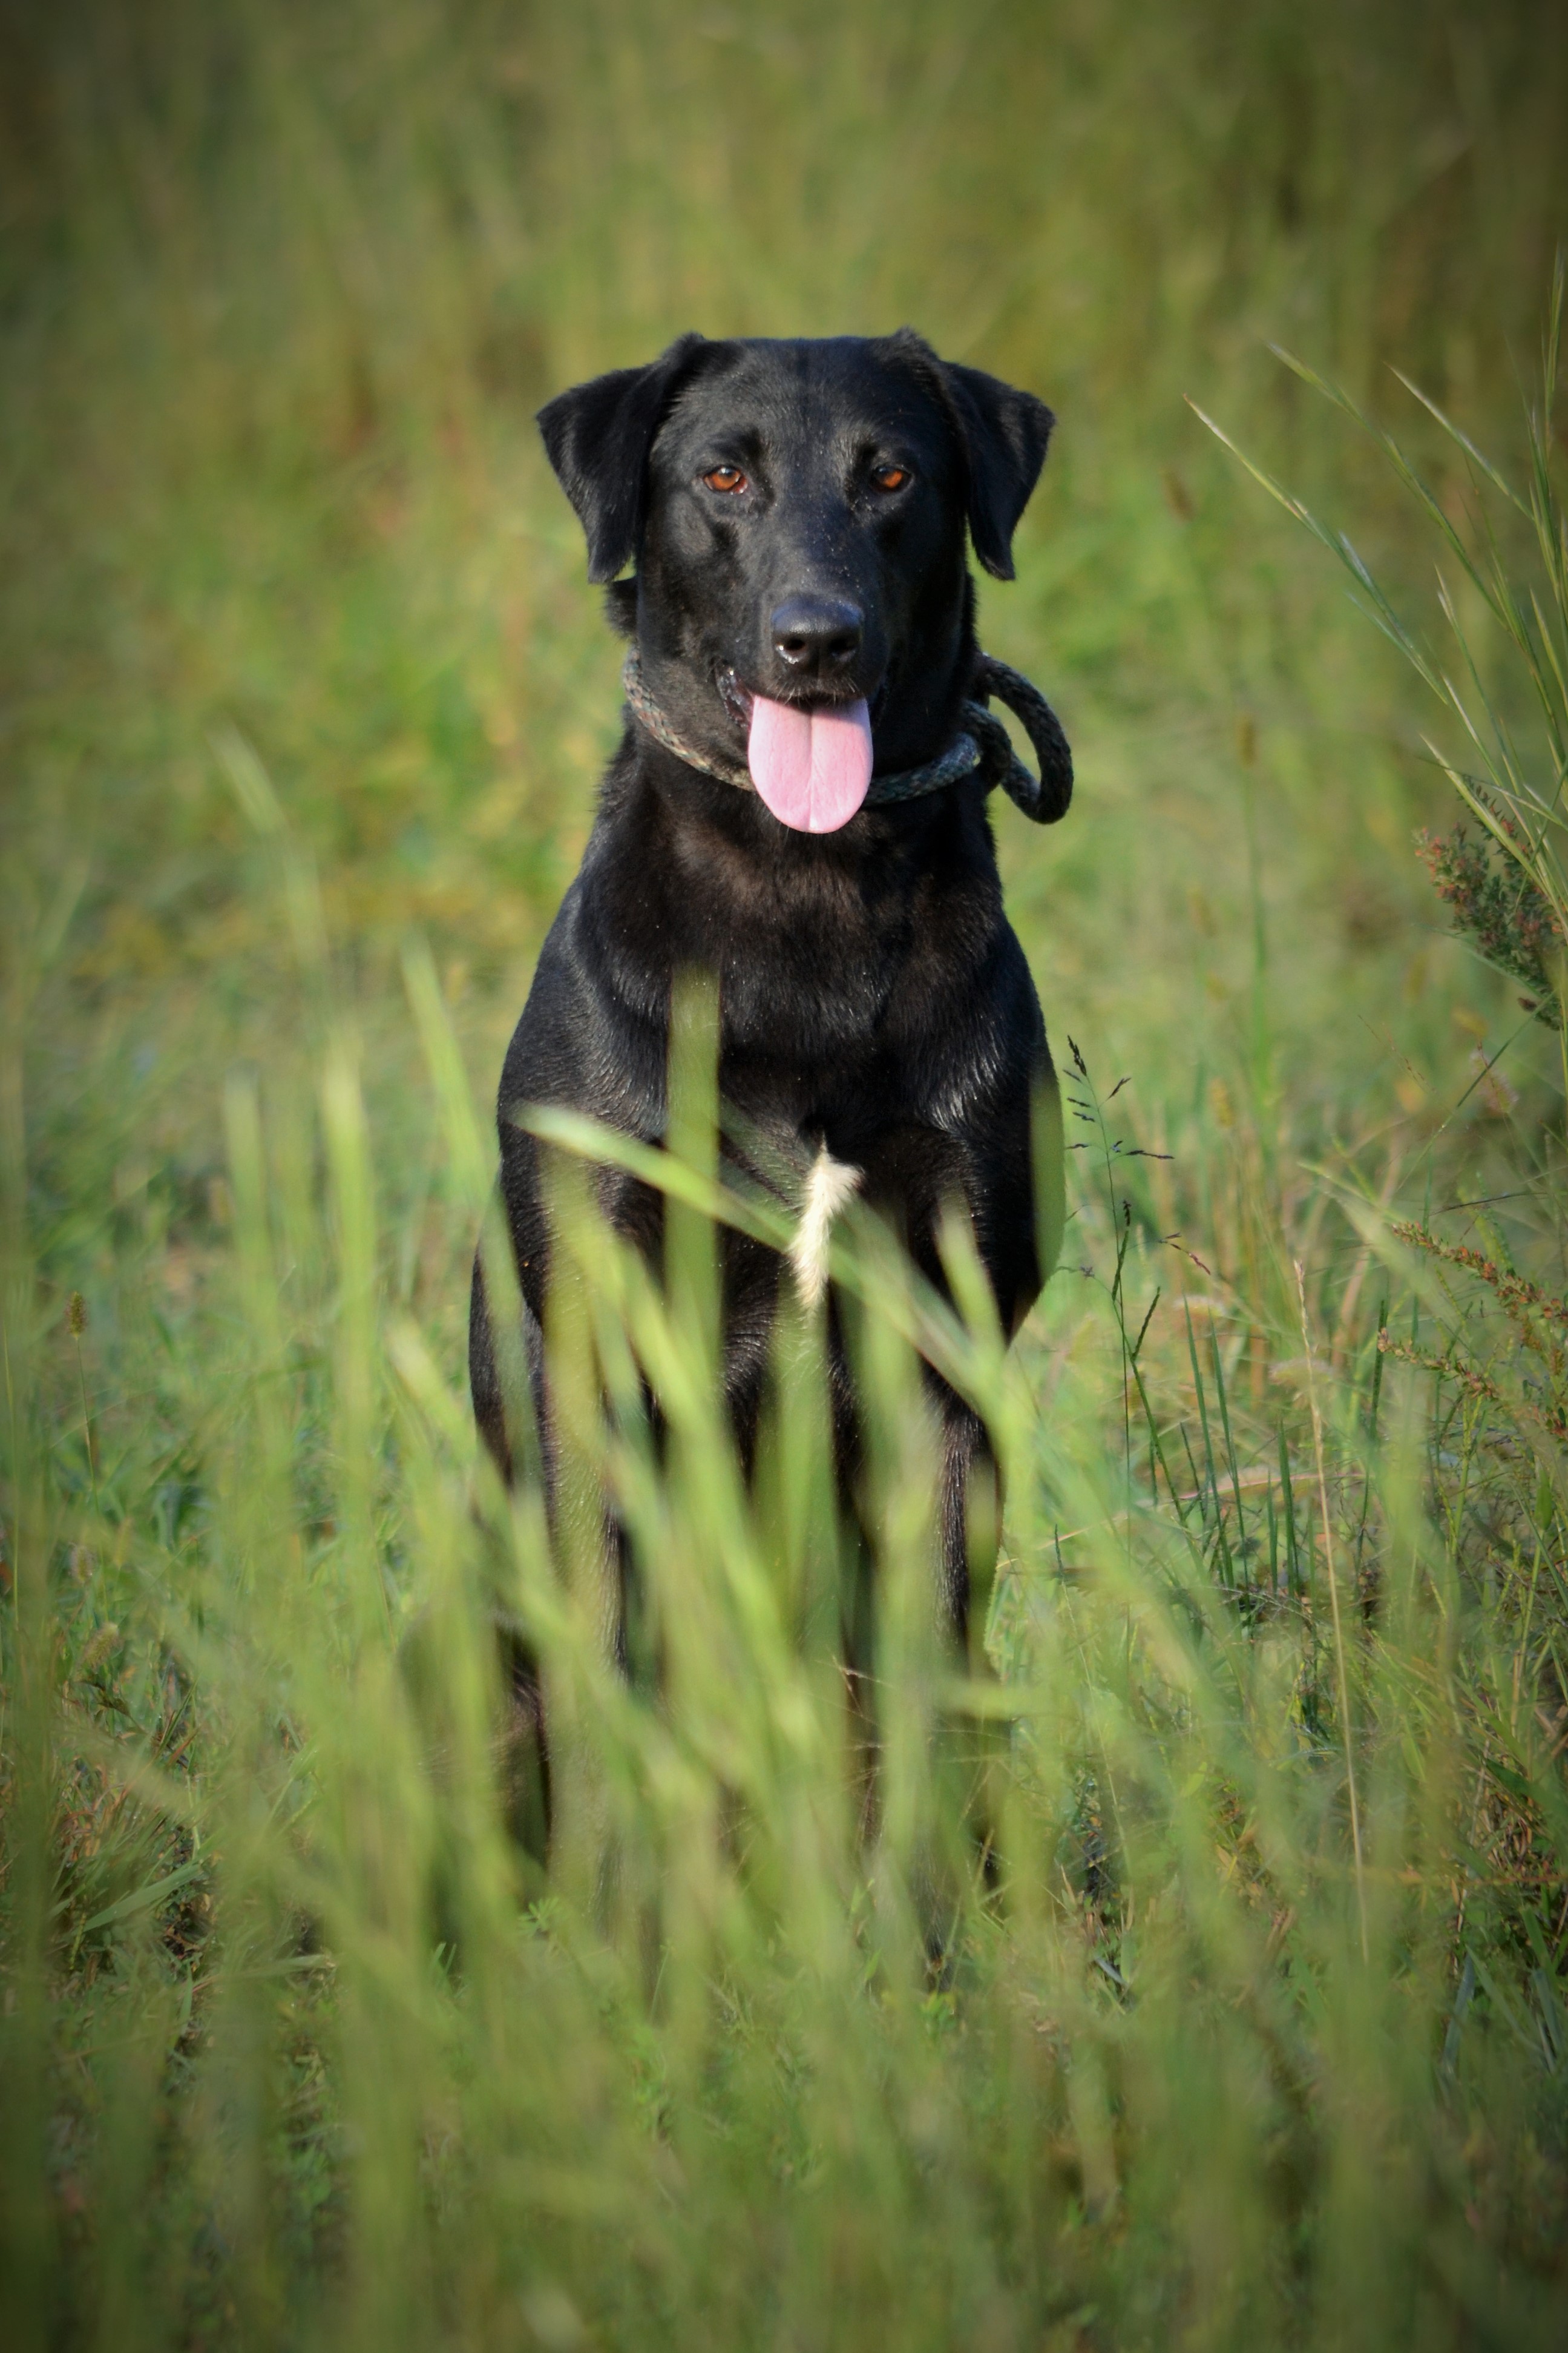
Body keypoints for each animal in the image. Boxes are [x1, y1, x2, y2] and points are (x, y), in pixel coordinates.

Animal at [472, 327, 1072, 1816]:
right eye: (723, 475)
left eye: (892, 474)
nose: (817, 640)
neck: (802, 896)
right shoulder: (597, 1354)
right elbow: (608, 1696)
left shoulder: (942, 1360)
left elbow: (916, 1694)